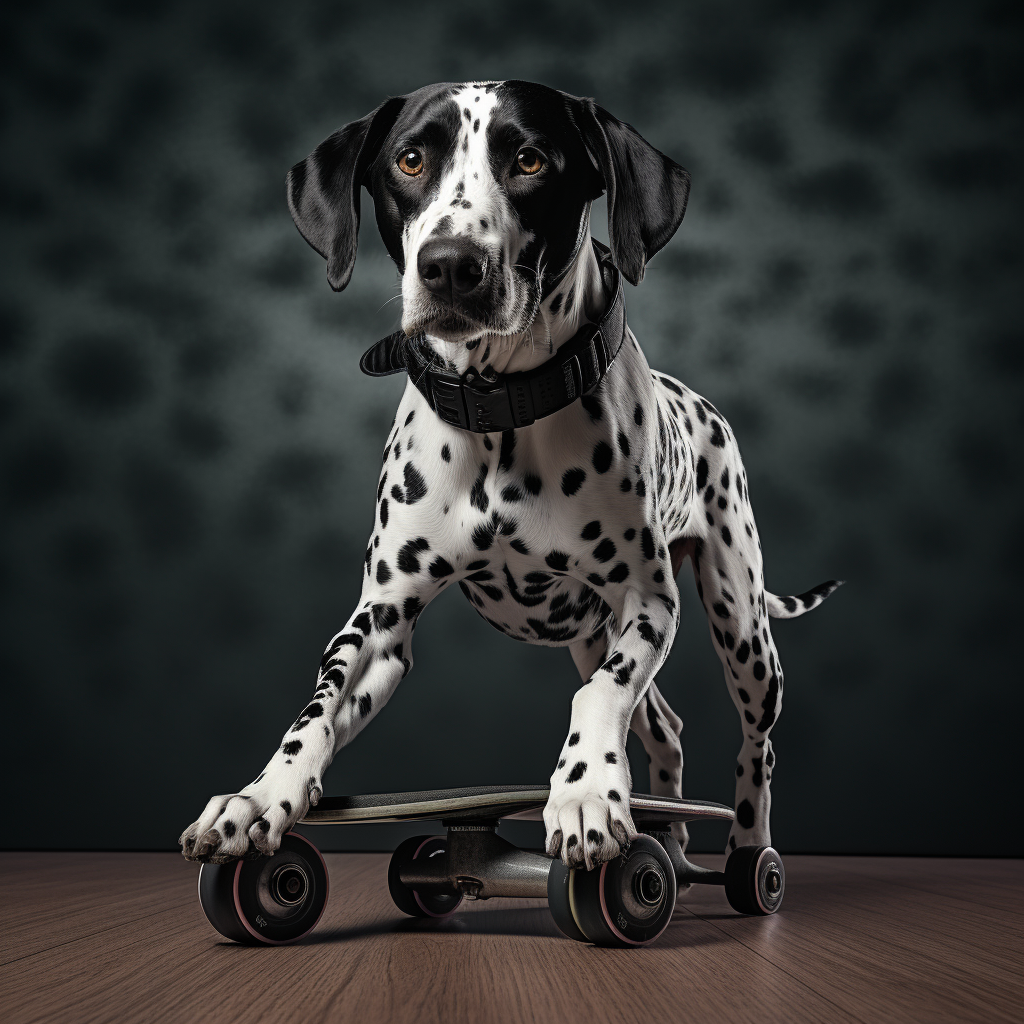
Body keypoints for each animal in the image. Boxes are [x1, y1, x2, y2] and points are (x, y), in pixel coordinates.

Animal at [180, 79, 835, 872]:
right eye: (409, 160)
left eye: (530, 160)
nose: (451, 263)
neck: (500, 414)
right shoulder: (382, 619)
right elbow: (318, 706)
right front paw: (260, 795)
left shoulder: (650, 602)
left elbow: (600, 698)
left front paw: (584, 791)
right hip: (595, 635)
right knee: (668, 728)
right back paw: (673, 841)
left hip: (741, 630)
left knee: (755, 748)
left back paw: (746, 850)